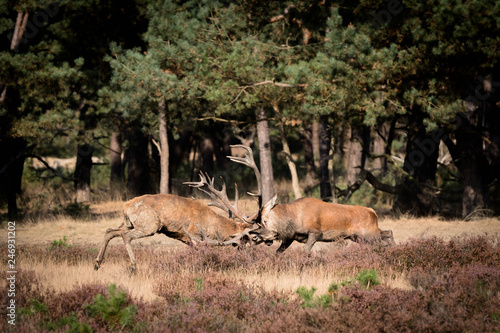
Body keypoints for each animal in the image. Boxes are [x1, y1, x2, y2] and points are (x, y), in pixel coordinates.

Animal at [95, 145, 264, 272]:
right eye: (247, 240)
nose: (251, 258)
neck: (213, 225)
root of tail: (125, 207)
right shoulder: (195, 236)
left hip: (128, 223)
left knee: (110, 231)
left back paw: (97, 263)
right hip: (149, 224)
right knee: (126, 236)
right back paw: (133, 266)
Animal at [252, 195, 396, 252]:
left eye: (264, 220)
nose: (255, 237)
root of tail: (373, 212)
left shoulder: (315, 232)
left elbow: (306, 250)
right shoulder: (290, 237)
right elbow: (278, 252)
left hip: (368, 233)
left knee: (387, 233)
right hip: (359, 237)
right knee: (387, 232)